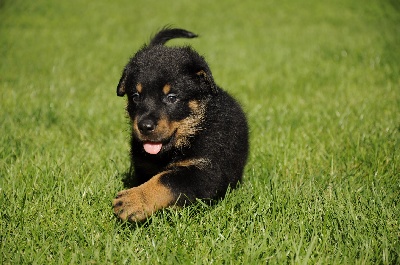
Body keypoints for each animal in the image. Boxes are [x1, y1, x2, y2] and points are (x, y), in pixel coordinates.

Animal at [112, 27, 248, 221]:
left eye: (171, 97)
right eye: (136, 97)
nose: (145, 126)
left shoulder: (206, 171)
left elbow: (166, 179)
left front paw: (134, 199)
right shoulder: (142, 166)